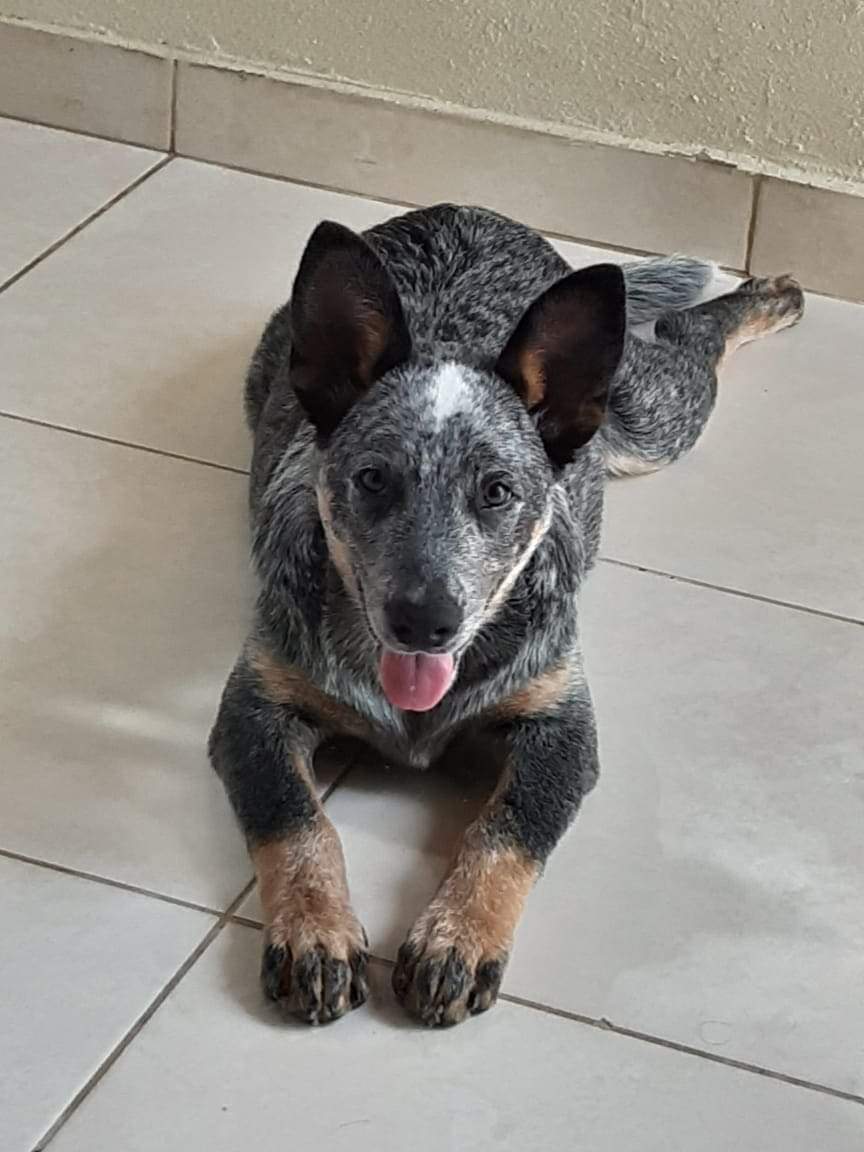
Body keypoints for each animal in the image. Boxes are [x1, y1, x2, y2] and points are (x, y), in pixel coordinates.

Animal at [209, 203, 804, 1026]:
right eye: (372, 479)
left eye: (497, 491)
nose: (424, 620)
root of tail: (472, 211)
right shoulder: (256, 707)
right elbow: (295, 819)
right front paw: (314, 931)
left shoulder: (561, 724)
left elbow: (507, 828)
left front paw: (457, 939)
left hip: (651, 421)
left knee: (688, 339)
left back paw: (764, 296)